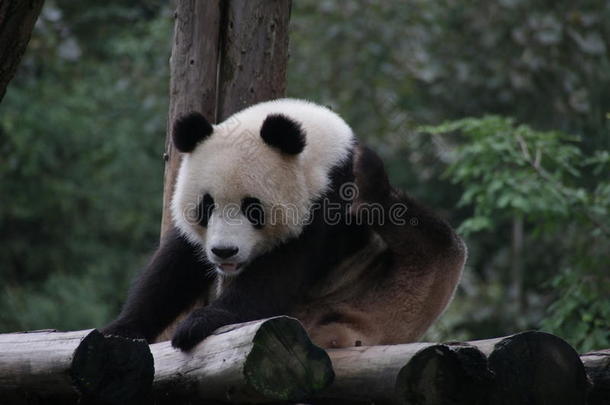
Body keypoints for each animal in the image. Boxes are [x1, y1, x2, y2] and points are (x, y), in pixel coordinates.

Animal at [102, 98, 466, 350]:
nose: (224, 252)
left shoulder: (326, 203)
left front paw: (199, 322)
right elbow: (174, 267)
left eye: (253, 209)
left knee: (436, 247)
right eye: (207, 206)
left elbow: (276, 277)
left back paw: (373, 185)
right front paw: (120, 331)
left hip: (395, 293)